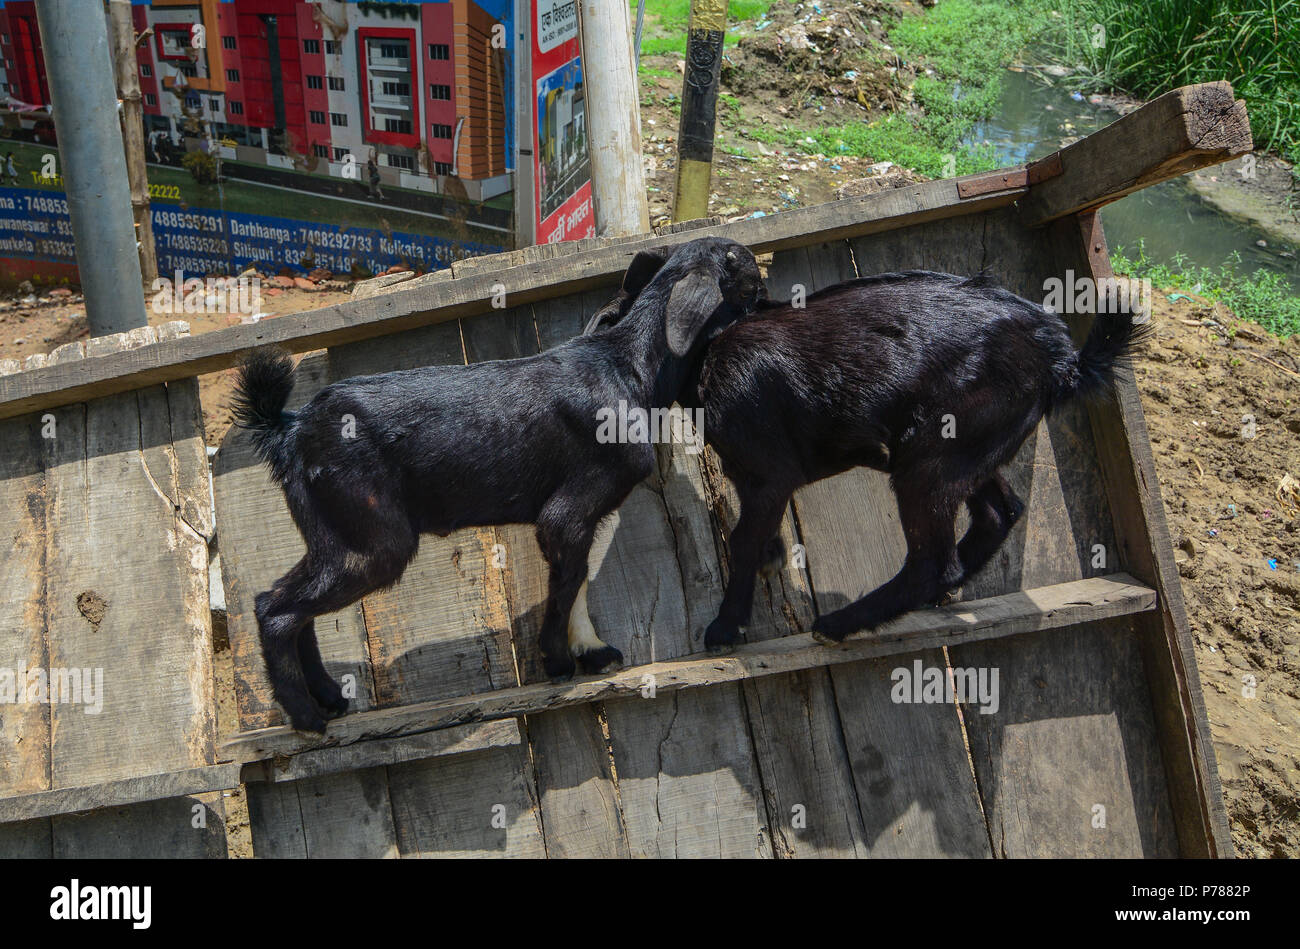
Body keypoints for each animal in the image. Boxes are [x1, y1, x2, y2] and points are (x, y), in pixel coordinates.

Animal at [231, 236, 759, 733]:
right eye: (752, 287)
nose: (768, 306)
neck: (626, 366)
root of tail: (291, 427)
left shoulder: (582, 519)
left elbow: (578, 580)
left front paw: (590, 650)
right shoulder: (567, 513)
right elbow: (565, 585)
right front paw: (557, 661)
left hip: (334, 535)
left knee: (283, 603)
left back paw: (327, 697)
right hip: (374, 541)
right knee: (276, 610)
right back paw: (304, 714)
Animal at [587, 262, 1149, 655]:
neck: (710, 348)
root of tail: (1062, 359)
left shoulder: (769, 475)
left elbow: (743, 540)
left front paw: (727, 624)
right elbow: (754, 534)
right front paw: (769, 560)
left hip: (930, 459)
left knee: (931, 562)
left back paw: (842, 623)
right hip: (966, 450)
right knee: (997, 513)